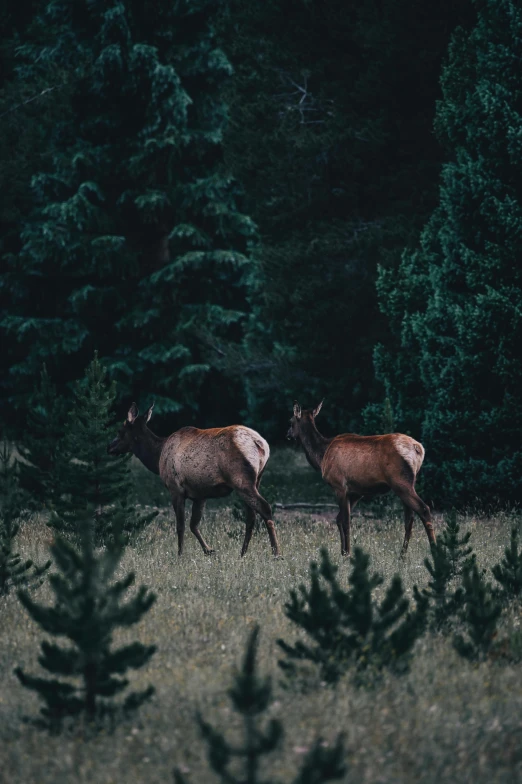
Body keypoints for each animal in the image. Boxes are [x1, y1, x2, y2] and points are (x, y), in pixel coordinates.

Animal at [106, 404, 280, 556]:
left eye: (120, 431)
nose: (109, 447)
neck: (157, 457)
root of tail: (261, 444)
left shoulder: (175, 489)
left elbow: (181, 526)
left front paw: (180, 555)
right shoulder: (200, 494)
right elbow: (193, 525)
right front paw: (209, 550)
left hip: (241, 480)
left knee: (264, 508)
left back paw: (276, 553)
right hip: (256, 480)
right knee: (251, 516)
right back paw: (243, 554)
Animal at [286, 398, 432, 556]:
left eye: (290, 421)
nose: (287, 434)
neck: (321, 456)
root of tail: (419, 449)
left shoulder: (339, 485)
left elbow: (345, 521)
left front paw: (347, 553)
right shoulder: (356, 492)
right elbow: (339, 519)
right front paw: (343, 552)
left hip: (400, 482)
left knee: (424, 509)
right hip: (409, 483)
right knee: (409, 518)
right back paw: (402, 555)